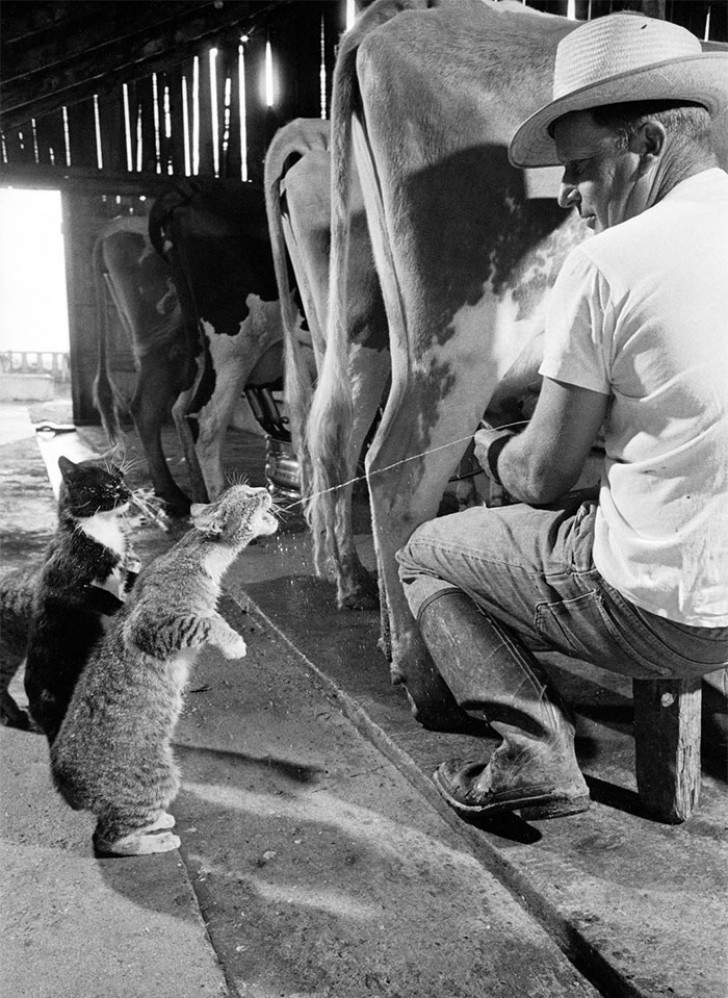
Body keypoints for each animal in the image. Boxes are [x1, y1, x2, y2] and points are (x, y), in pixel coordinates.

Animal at [48, 484, 276, 860]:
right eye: (247, 496)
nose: (265, 487)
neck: (199, 557)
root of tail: (64, 783)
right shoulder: (154, 626)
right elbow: (206, 621)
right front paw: (233, 644)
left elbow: (212, 616)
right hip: (159, 778)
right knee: (106, 839)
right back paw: (157, 839)